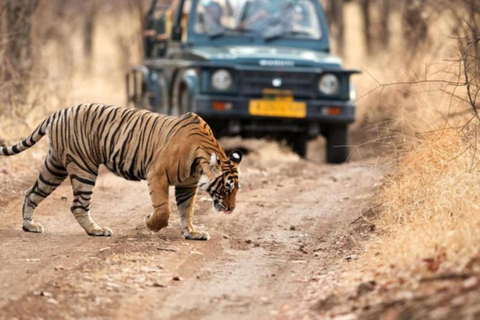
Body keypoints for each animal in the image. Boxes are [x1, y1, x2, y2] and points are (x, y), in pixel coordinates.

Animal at [0, 104, 240, 241]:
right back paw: (97, 230)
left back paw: (29, 225)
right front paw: (150, 223)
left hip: (55, 166)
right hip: (84, 167)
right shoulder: (157, 174)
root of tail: (59, 112)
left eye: (237, 189)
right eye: (226, 187)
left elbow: (186, 210)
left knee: (31, 193)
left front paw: (192, 232)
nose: (231, 209)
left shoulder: (187, 185)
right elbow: (164, 210)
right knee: (78, 205)